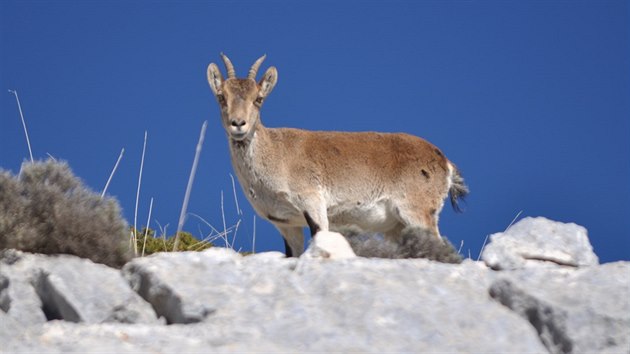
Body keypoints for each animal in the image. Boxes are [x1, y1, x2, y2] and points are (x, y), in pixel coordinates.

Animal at [209, 54, 470, 256]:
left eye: (258, 99)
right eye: (221, 96)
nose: (238, 124)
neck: (276, 154)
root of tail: (443, 161)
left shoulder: (313, 204)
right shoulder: (287, 225)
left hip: (417, 211)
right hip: (396, 227)